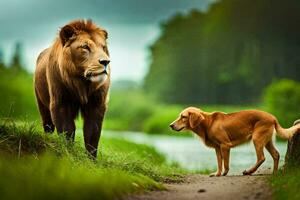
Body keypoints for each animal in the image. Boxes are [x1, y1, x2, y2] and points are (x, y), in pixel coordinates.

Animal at [34, 19, 110, 158]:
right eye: (85, 47)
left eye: (103, 47)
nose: (106, 62)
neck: (82, 82)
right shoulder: (61, 102)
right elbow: (67, 130)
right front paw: (67, 152)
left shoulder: (96, 105)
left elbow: (92, 135)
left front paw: (91, 159)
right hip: (41, 103)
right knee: (48, 126)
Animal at [170, 107, 298, 176]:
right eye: (180, 116)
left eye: (183, 117)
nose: (170, 125)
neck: (208, 123)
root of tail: (273, 117)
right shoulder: (217, 148)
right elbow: (219, 163)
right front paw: (217, 174)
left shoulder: (225, 145)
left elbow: (225, 163)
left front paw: (224, 173)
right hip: (267, 141)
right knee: (276, 155)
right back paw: (274, 174)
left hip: (257, 139)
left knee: (261, 157)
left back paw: (249, 171)